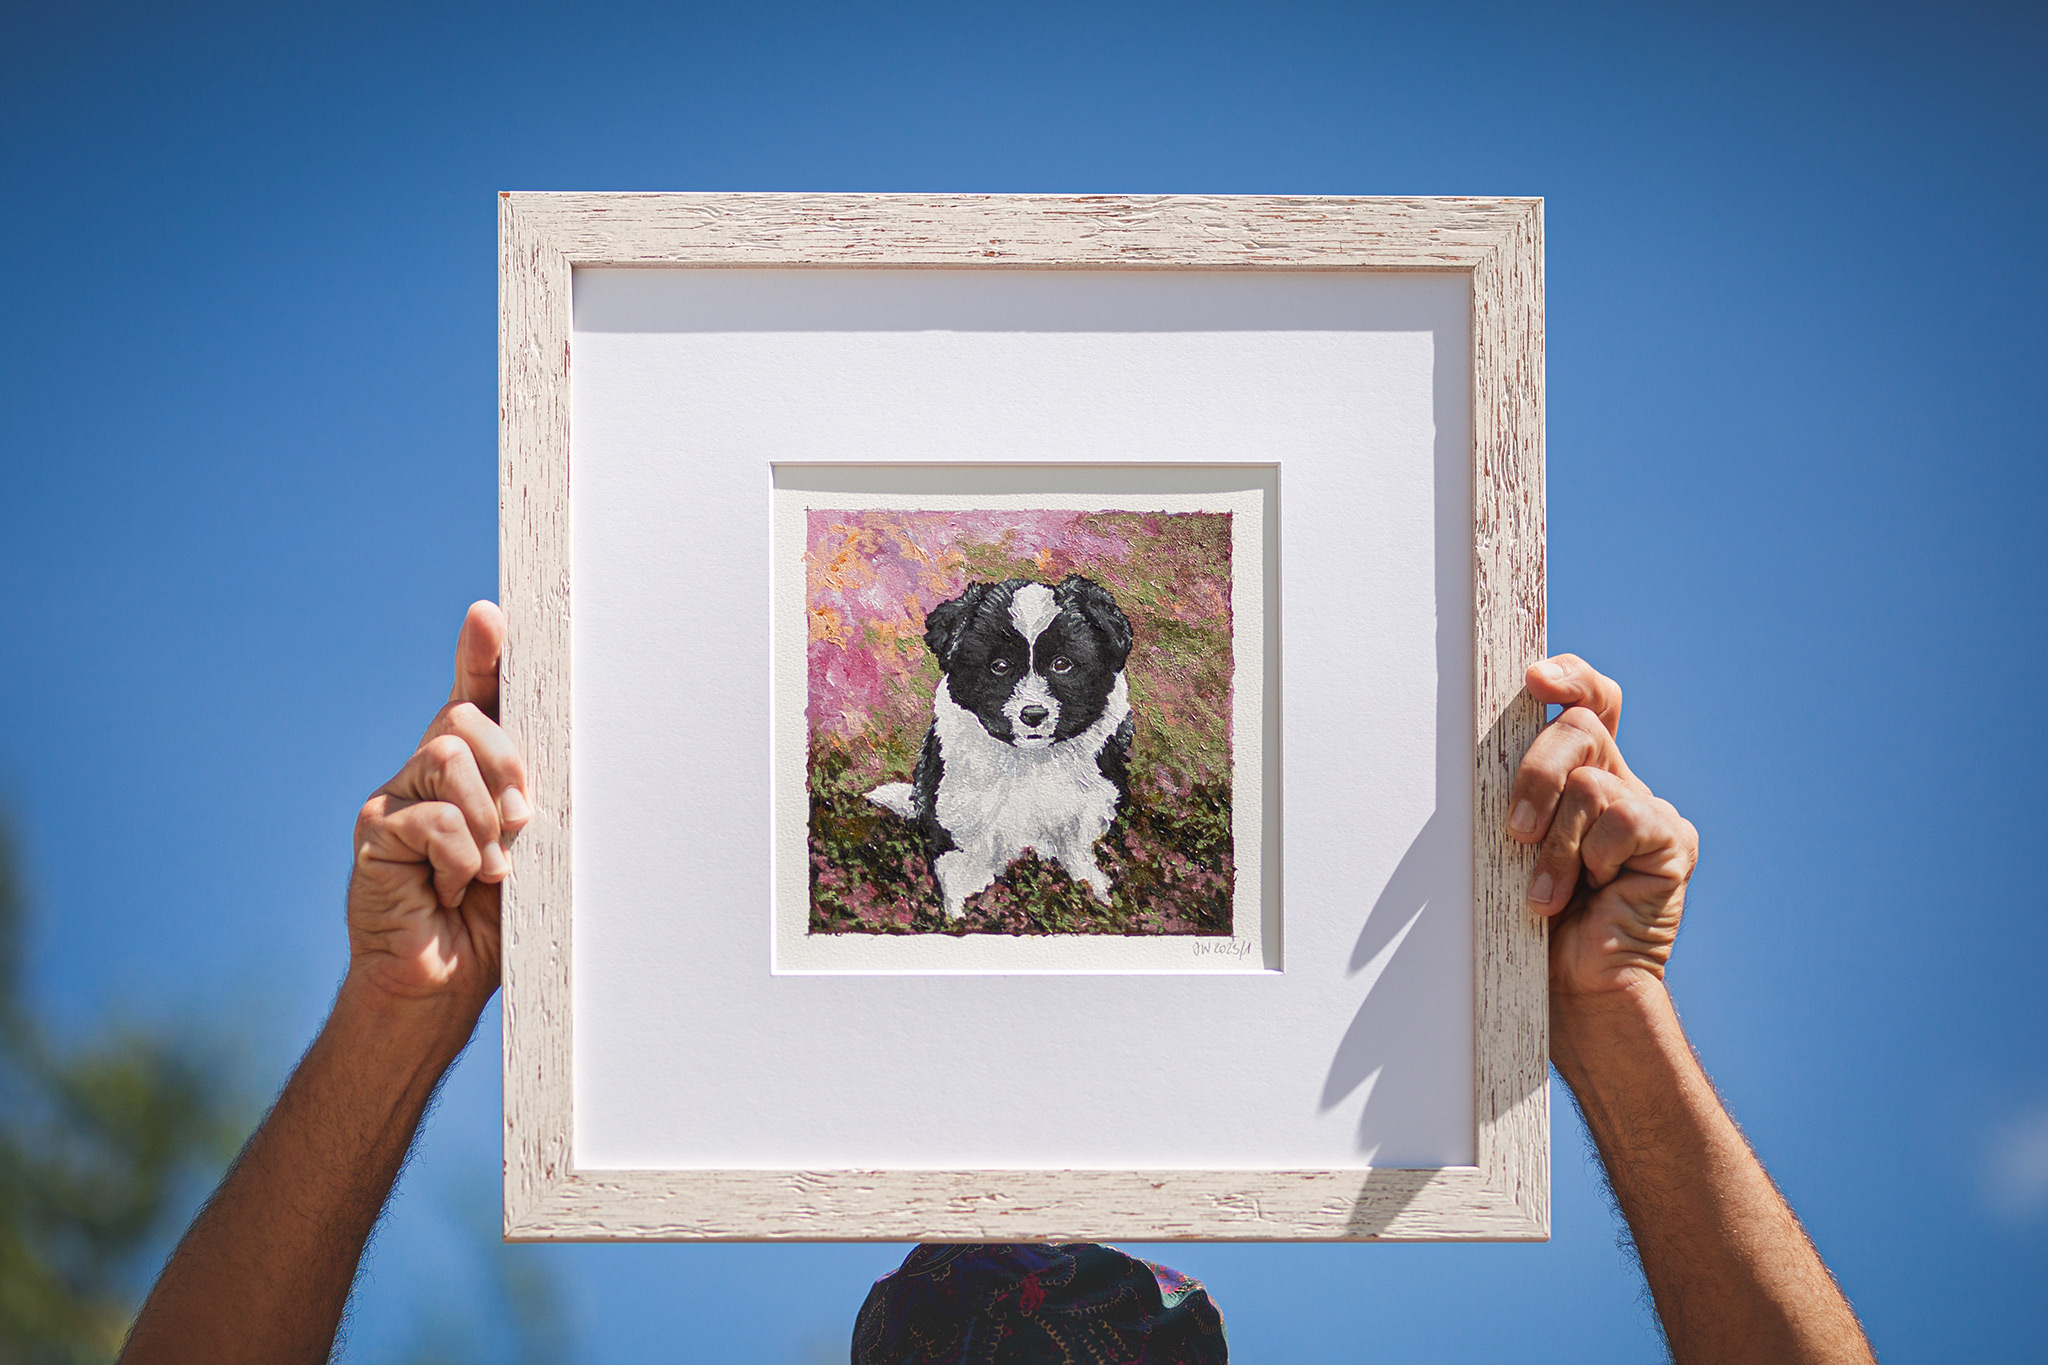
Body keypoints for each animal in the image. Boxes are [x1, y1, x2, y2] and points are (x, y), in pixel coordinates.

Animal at [868, 573, 1138, 916]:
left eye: (1062, 664)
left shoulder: (1090, 800)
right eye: (999, 666)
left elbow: (1076, 847)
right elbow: (958, 867)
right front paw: (960, 915)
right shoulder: (960, 809)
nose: (1033, 714)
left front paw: (1095, 889)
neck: (1031, 760)